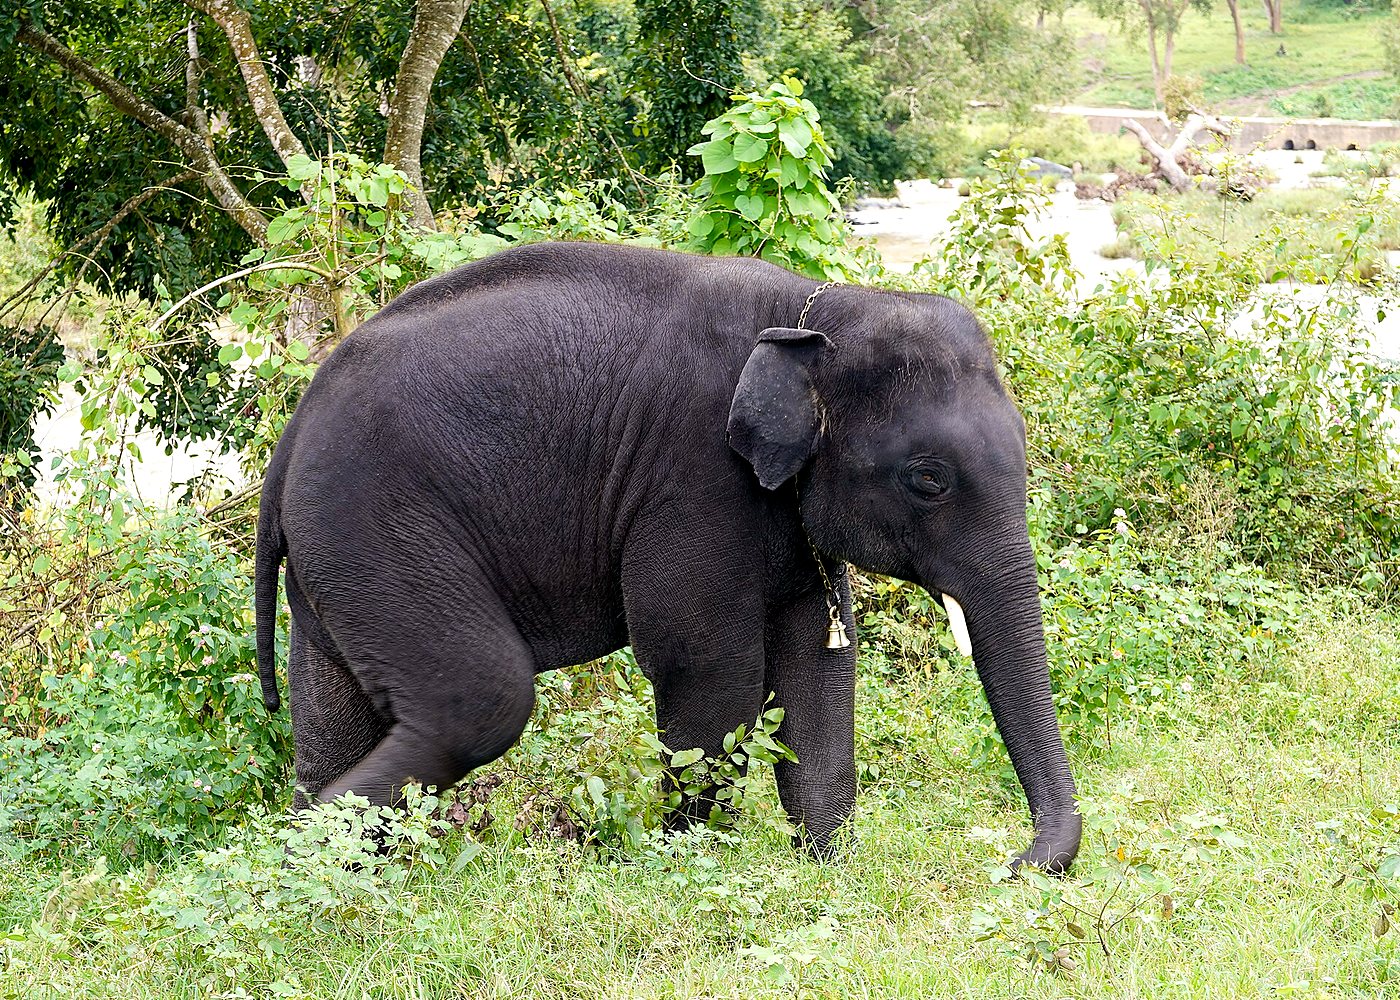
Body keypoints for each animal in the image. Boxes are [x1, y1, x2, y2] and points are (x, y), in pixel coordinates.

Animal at [254, 241, 1081, 871]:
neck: (822, 311)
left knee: (335, 720)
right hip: (378, 525)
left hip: (338, 557)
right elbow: (711, 674)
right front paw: (689, 863)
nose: (1013, 864)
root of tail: (289, 437)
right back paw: (300, 853)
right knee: (481, 699)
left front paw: (828, 869)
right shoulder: (692, 481)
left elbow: (818, 671)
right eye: (928, 481)